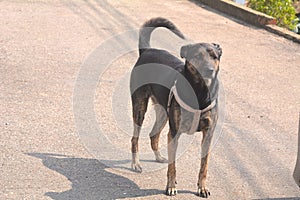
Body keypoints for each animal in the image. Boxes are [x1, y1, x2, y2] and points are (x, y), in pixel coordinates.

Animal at [130, 17, 221, 198]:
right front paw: (171, 187)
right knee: (135, 138)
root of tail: (146, 50)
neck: (200, 92)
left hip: (163, 113)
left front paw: (202, 187)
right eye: (198, 56)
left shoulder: (208, 135)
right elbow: (172, 167)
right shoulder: (174, 134)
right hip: (139, 108)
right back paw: (136, 164)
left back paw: (158, 156)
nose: (210, 70)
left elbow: (204, 166)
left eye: (214, 57)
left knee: (153, 134)